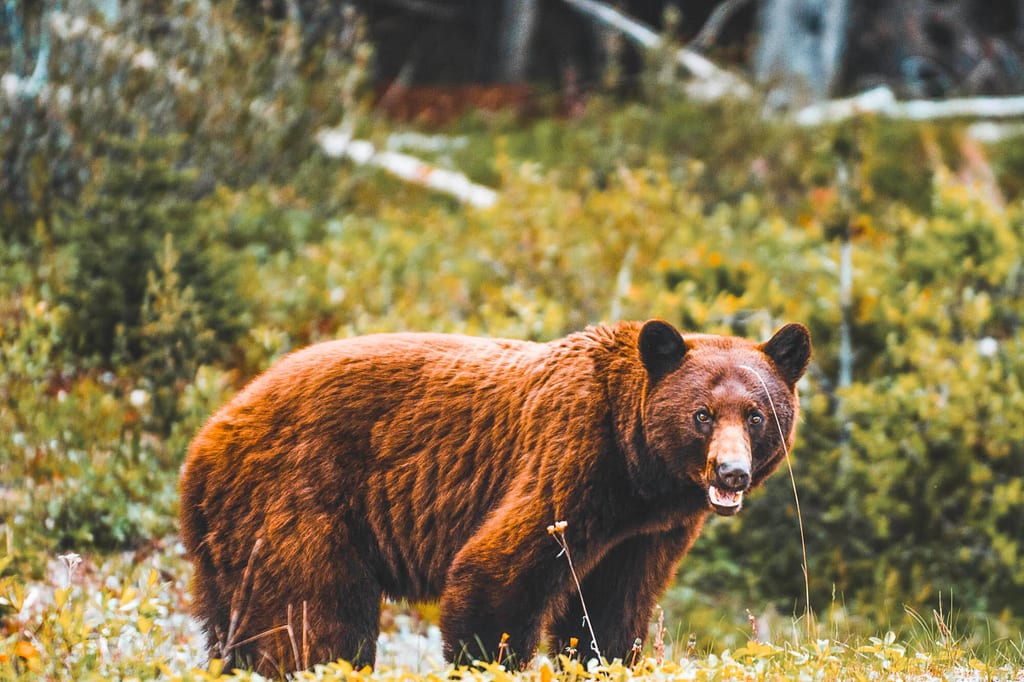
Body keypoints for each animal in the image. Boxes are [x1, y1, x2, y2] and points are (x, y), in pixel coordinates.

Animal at [179, 319, 811, 674]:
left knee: (236, 626)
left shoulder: (647, 532)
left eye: (755, 415)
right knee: (316, 621)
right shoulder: (573, 458)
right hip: (299, 497)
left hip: (231, 541)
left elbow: (611, 611)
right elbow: (497, 573)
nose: (731, 473)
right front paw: (489, 659)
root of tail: (206, 439)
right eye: (703, 414)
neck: (640, 475)